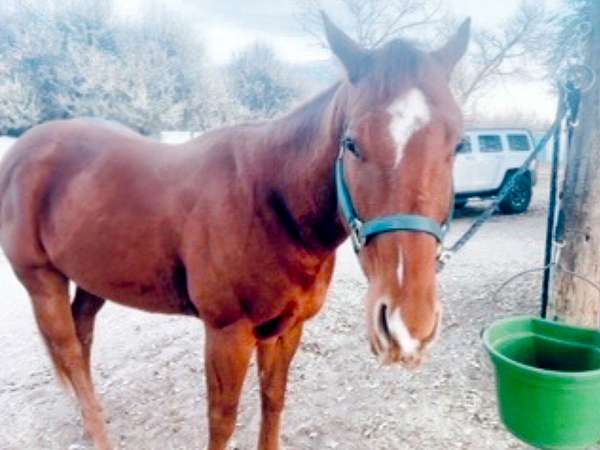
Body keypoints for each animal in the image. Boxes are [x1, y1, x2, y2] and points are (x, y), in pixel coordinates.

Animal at [0, 13, 468, 450]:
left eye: (458, 144)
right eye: (352, 143)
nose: (407, 326)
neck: (269, 199)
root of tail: (24, 149)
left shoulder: (287, 328)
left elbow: (273, 401)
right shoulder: (227, 334)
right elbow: (222, 422)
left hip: (93, 277)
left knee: (82, 339)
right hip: (42, 282)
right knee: (69, 352)